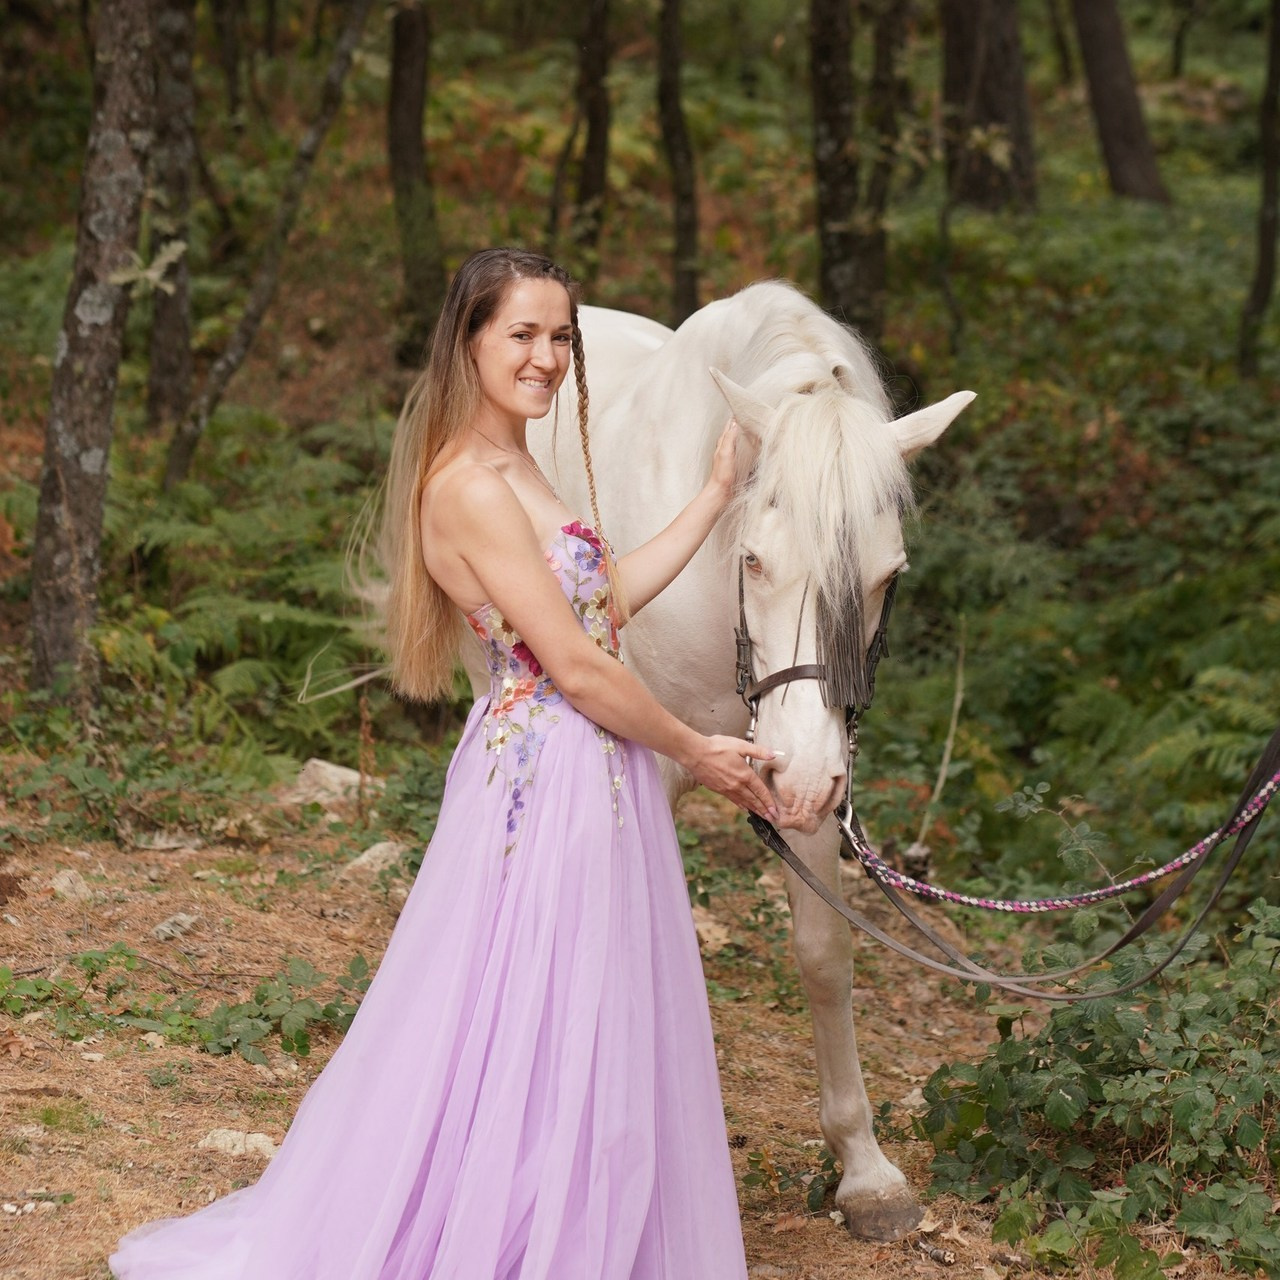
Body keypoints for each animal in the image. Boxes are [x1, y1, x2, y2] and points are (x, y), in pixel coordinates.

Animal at [531, 280, 975, 1241]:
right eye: (756, 560)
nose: (801, 778)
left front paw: (864, 1170)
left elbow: (823, 951)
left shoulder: (806, 774)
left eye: (889, 576)